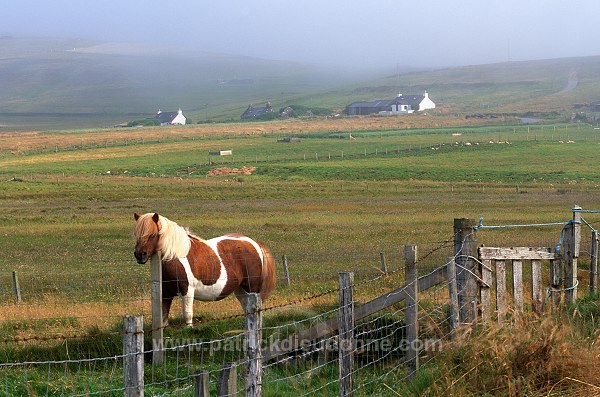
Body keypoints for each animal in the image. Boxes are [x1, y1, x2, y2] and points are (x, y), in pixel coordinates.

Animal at [132, 213, 276, 324]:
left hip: (252, 288)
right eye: (136, 235)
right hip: (241, 290)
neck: (176, 256)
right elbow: (163, 317)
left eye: (152, 235)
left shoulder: (187, 291)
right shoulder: (166, 293)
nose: (139, 255)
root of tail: (254, 243)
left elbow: (187, 314)